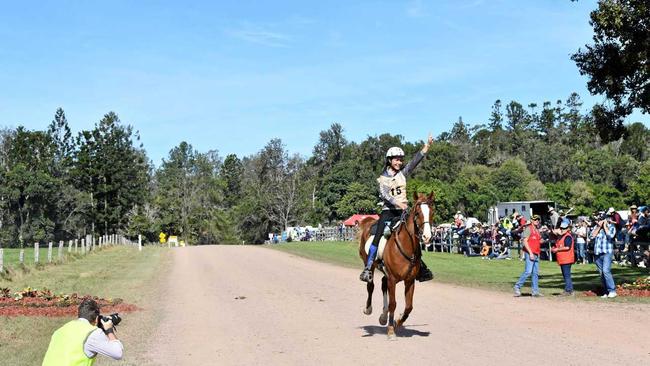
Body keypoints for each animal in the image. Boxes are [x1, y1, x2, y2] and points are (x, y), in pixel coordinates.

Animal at [356, 192, 432, 340]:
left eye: (432, 212)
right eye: (418, 213)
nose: (427, 236)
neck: (406, 244)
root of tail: (368, 222)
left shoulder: (410, 281)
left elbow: (409, 306)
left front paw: (397, 322)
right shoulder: (393, 279)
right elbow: (393, 304)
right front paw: (391, 331)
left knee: (382, 284)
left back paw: (383, 317)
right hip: (369, 264)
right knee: (371, 285)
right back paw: (368, 309)